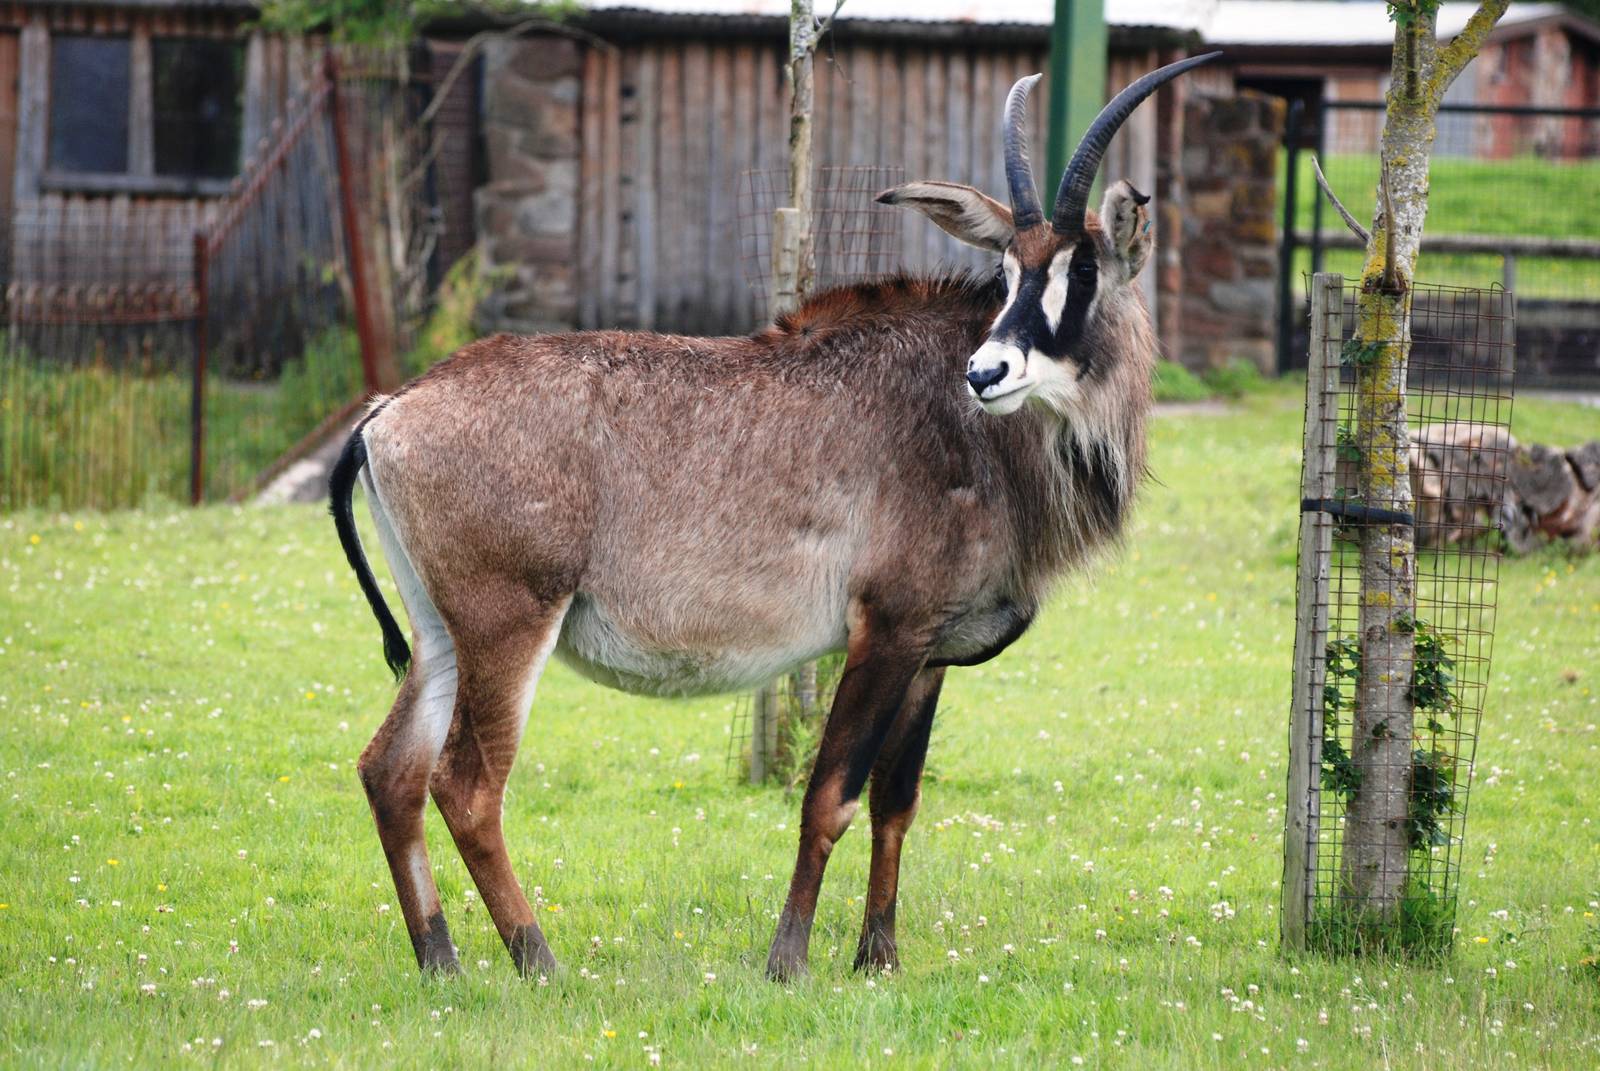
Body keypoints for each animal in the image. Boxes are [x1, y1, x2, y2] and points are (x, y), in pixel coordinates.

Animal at [330, 53, 1218, 981]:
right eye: (1009, 274)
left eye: (1080, 272)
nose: (987, 371)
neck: (972, 432)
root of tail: (389, 410)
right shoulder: (884, 630)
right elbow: (829, 796)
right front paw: (787, 959)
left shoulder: (930, 652)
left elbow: (897, 803)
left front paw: (878, 958)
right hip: (507, 624)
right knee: (467, 787)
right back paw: (538, 959)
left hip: (440, 634)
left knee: (390, 771)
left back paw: (441, 957)